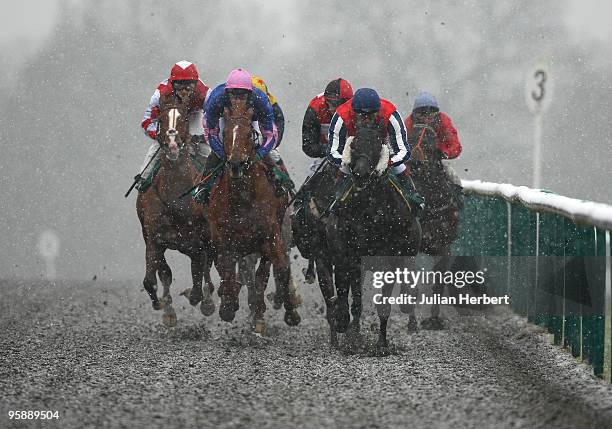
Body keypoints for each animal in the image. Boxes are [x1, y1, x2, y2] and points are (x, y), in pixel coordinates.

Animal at [136, 95, 215, 326]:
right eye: (161, 119)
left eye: (184, 119)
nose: (171, 145)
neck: (175, 198)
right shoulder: (154, 239)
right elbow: (154, 279)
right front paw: (165, 307)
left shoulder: (199, 242)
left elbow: (199, 279)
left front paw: (202, 300)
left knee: (205, 271)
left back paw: (207, 300)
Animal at [206, 101, 302, 334]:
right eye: (225, 132)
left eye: (250, 133)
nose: (236, 164)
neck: (243, 198)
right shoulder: (223, 238)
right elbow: (228, 270)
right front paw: (228, 305)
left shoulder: (271, 236)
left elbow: (280, 268)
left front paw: (290, 311)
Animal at [328, 124, 424, 354]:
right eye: (353, 146)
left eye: (376, 147)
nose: (360, 174)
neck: (372, 211)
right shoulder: (351, 256)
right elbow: (350, 297)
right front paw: (346, 326)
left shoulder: (389, 260)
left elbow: (384, 303)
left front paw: (382, 344)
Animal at [408, 122, 462, 330]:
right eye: (410, 138)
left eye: (429, 141)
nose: (414, 162)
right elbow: (412, 286)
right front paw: (412, 322)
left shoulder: (444, 246)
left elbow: (439, 283)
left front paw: (434, 320)